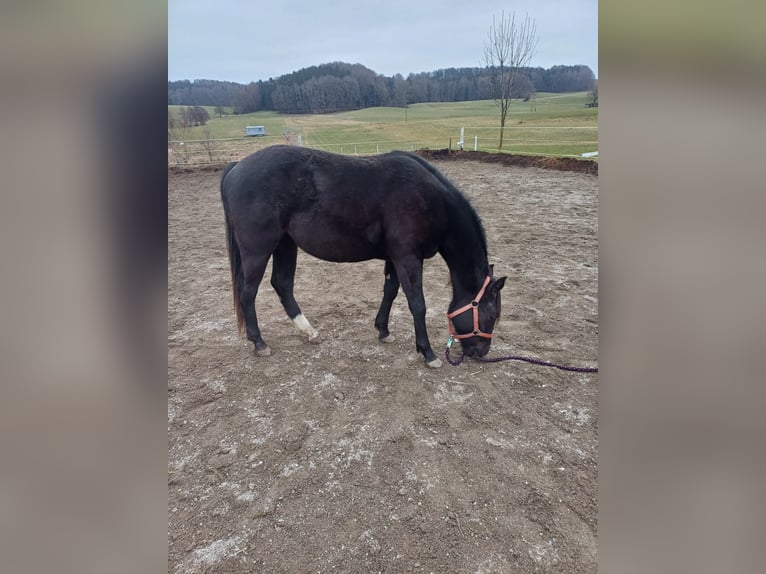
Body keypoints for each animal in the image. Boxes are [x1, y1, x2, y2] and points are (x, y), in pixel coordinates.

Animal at [219, 144, 508, 368]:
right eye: (491, 316)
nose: (481, 353)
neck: (431, 199)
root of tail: (237, 167)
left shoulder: (395, 257)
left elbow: (390, 291)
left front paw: (383, 330)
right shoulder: (408, 258)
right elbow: (417, 303)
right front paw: (427, 352)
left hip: (285, 245)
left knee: (282, 285)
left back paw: (308, 331)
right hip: (258, 250)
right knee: (248, 292)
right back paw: (259, 342)